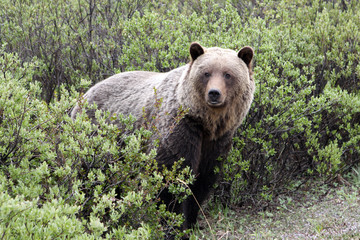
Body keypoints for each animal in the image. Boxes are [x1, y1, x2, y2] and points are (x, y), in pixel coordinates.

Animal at [71, 42, 255, 231]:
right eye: (206, 73)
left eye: (228, 74)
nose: (214, 93)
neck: (205, 123)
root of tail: (83, 96)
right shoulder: (179, 128)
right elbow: (170, 178)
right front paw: (173, 224)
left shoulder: (217, 141)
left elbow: (202, 181)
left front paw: (191, 223)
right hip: (97, 137)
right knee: (92, 175)